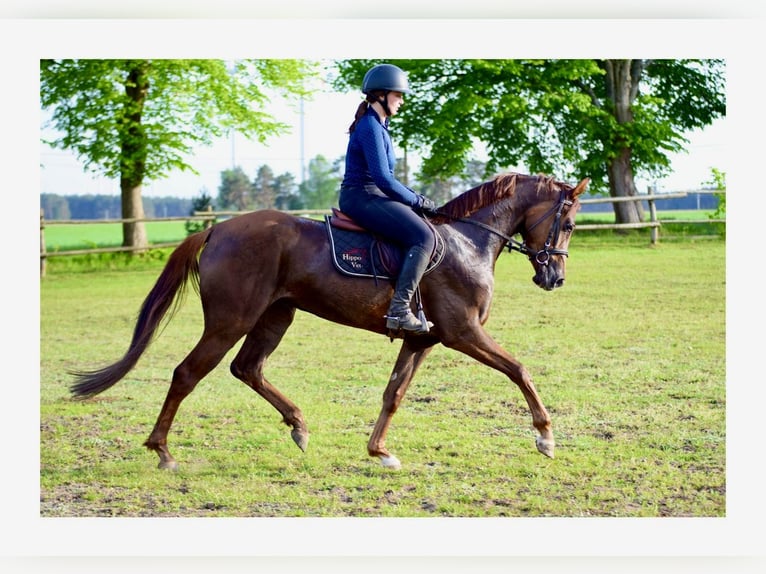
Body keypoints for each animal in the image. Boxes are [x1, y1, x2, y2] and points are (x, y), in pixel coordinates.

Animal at [70, 172, 588, 472]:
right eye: (568, 225)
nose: (555, 278)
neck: (468, 241)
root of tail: (218, 229)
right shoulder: (465, 333)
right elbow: (520, 369)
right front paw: (545, 436)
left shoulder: (422, 340)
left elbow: (394, 394)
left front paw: (379, 452)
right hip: (229, 321)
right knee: (187, 373)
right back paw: (163, 452)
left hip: (274, 317)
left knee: (247, 369)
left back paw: (298, 425)